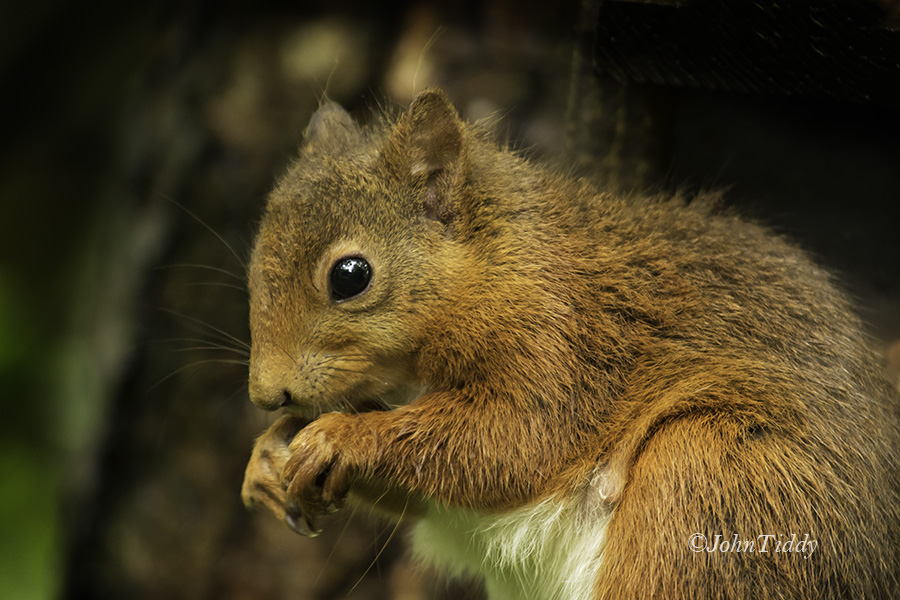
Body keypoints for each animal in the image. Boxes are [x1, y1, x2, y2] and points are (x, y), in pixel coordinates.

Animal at [239, 90, 900, 600]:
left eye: (350, 276)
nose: (267, 396)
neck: (501, 258)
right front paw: (267, 459)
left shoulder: (564, 341)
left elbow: (512, 441)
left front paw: (343, 435)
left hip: (709, 485)